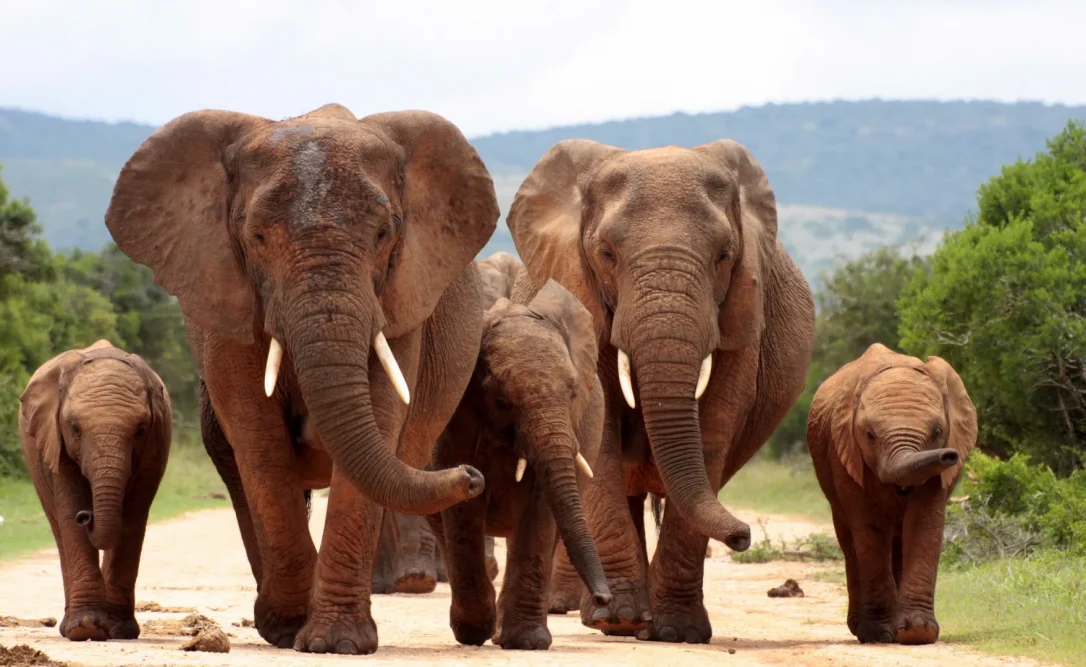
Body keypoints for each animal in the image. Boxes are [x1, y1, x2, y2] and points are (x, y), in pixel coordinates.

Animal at [18, 338, 171, 643]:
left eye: (141, 430)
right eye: (75, 427)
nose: (86, 516)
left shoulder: (155, 444)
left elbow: (133, 517)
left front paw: (120, 631)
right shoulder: (54, 439)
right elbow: (68, 509)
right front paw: (86, 628)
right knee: (58, 526)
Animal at [108, 102, 497, 656]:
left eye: (384, 234)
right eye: (256, 237)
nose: (473, 475)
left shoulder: (399, 299)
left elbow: (380, 420)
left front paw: (336, 642)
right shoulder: (226, 298)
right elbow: (258, 439)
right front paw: (293, 628)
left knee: (414, 470)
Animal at [434, 277, 621, 651]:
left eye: (573, 393)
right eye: (502, 402)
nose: (604, 599)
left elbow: (539, 507)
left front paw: (526, 643)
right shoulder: (455, 420)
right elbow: (464, 507)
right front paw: (474, 632)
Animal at [807, 343, 977, 647]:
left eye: (938, 432)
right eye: (869, 435)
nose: (949, 455)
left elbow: (924, 524)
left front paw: (917, 633)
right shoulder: (845, 454)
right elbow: (870, 529)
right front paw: (879, 635)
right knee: (850, 541)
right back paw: (859, 628)